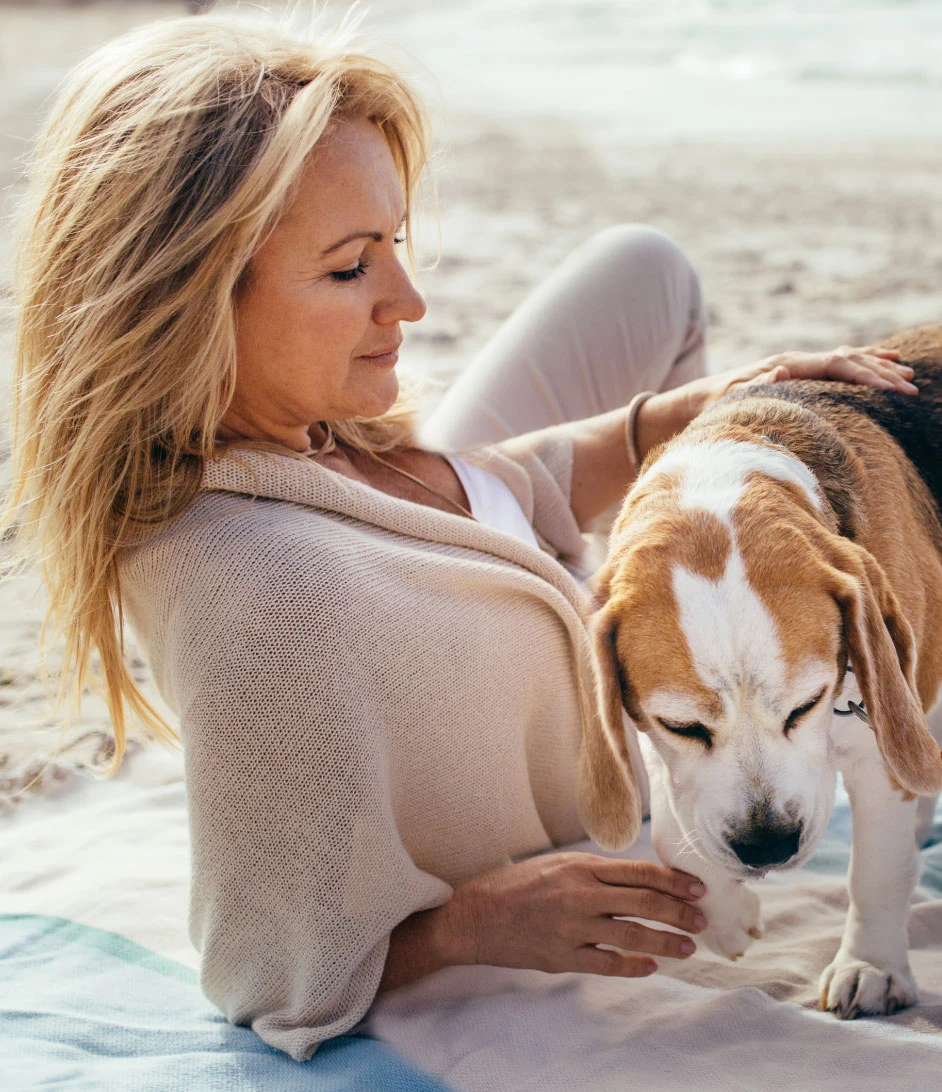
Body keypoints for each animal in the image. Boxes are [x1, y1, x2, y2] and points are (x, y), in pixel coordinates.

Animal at [580, 321, 942, 1013]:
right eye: (681, 726)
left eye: (807, 705)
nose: (768, 845)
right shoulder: (665, 753)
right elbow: (672, 829)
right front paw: (722, 916)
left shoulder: (880, 752)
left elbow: (876, 873)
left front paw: (871, 967)